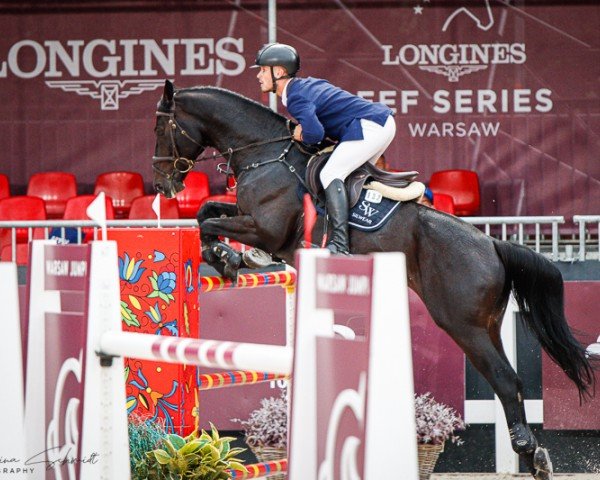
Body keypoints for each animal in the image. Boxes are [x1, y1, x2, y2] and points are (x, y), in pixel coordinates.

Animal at [154, 80, 596, 478]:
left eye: (161, 126)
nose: (162, 185)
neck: (265, 153)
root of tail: (491, 243)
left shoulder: (266, 228)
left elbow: (208, 219)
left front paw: (224, 256)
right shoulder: (254, 223)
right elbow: (209, 210)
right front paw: (232, 257)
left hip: (462, 325)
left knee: (505, 380)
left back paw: (530, 454)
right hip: (487, 325)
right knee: (511, 382)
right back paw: (534, 457)